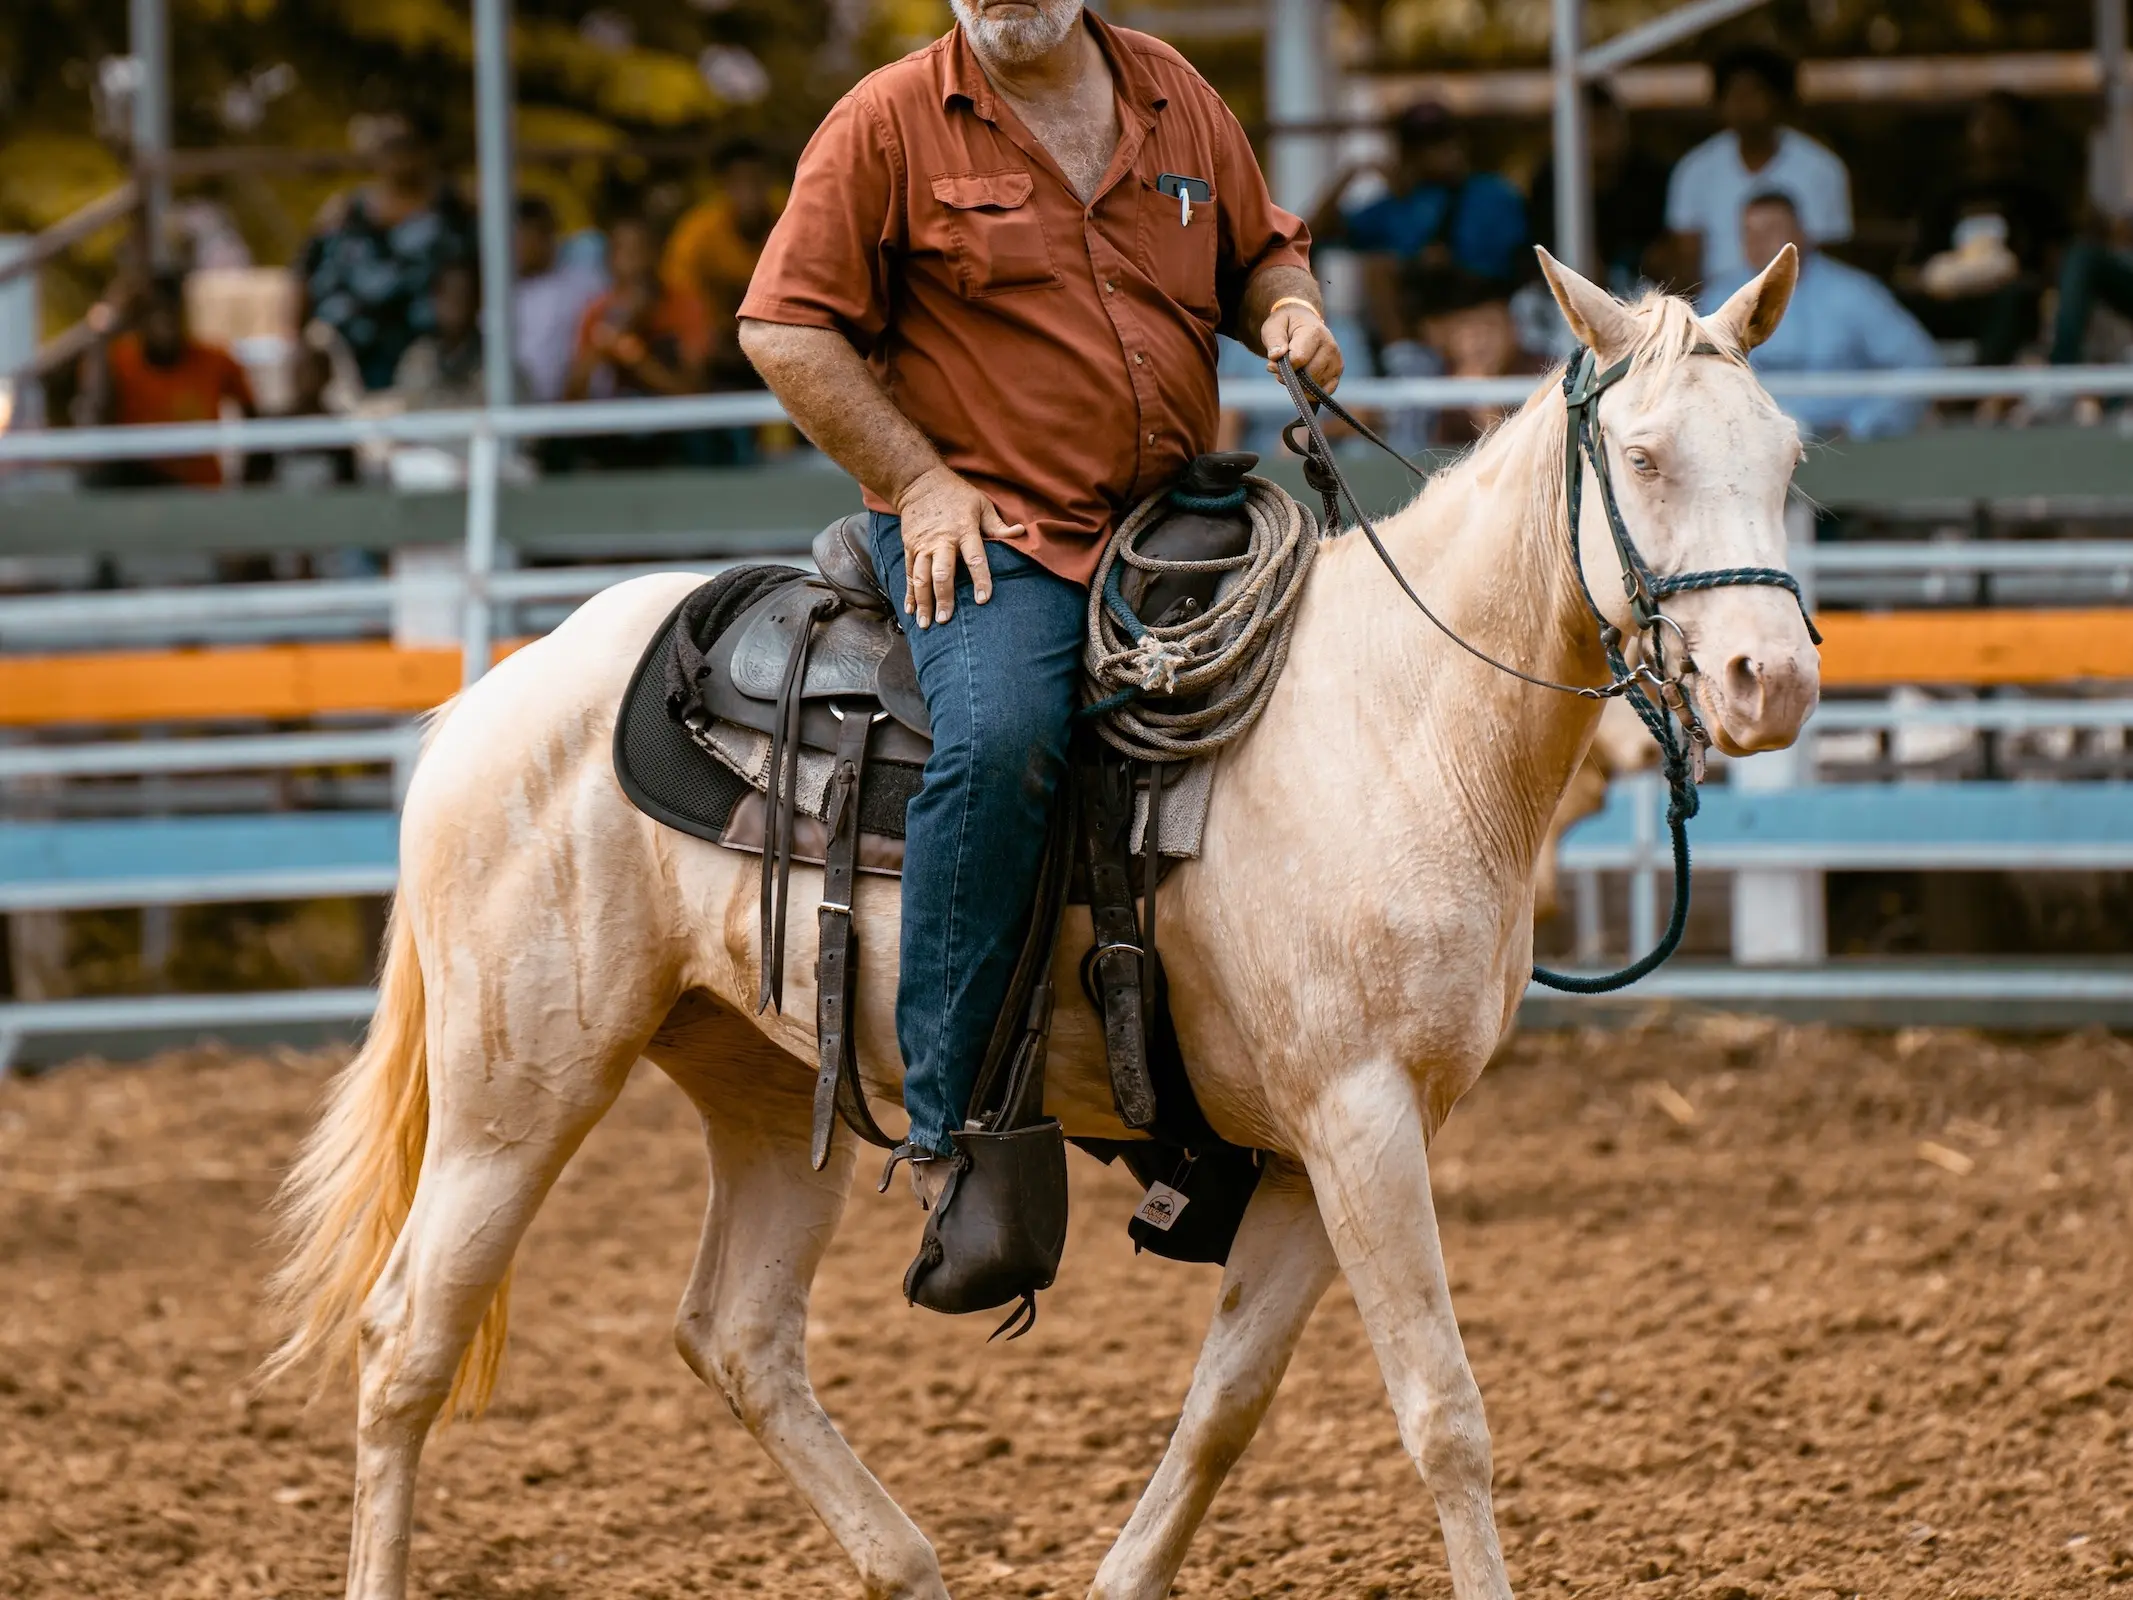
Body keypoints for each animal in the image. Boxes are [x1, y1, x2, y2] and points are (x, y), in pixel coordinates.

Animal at [266, 253, 1817, 1600]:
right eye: (1644, 460)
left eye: (1790, 458)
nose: (1772, 681)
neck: (1396, 721)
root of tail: (493, 698)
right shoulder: (1360, 1117)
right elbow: (1444, 1413)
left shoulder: (1318, 1149)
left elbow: (1225, 1405)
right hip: (516, 1088)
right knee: (406, 1345)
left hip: (759, 1078)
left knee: (739, 1335)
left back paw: (907, 1566)